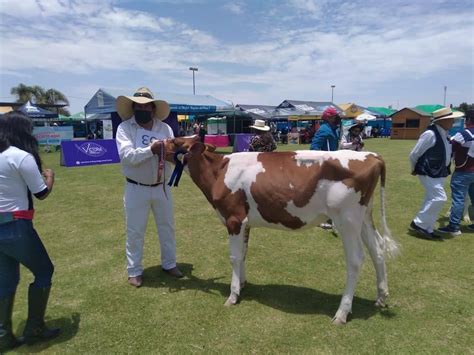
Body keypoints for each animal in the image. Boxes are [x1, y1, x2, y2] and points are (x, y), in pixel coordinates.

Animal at [165, 137, 398, 326]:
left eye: (174, 141)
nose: (156, 143)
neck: (219, 171)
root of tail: (372, 156)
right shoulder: (246, 223)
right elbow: (243, 254)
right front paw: (242, 284)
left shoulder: (234, 219)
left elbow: (234, 257)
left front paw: (232, 295)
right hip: (364, 217)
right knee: (377, 250)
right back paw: (381, 297)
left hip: (347, 220)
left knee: (356, 259)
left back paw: (342, 313)